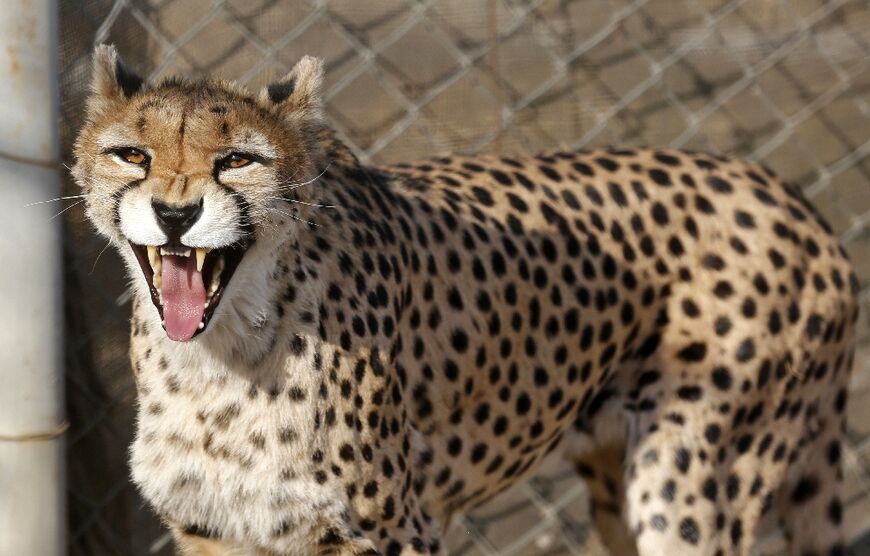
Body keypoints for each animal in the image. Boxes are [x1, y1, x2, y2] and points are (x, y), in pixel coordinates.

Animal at [73, 44, 860, 556]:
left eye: (237, 160)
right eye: (133, 155)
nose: (176, 214)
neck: (221, 353)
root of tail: (791, 196)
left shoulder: (393, 530)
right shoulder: (218, 532)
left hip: (691, 483)